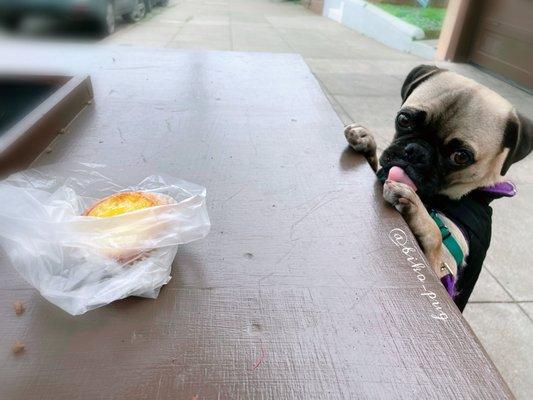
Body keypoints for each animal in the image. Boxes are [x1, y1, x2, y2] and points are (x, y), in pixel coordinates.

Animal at [344, 64, 532, 310]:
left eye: (460, 156)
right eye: (404, 120)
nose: (415, 151)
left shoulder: (442, 273)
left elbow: (434, 234)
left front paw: (413, 206)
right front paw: (365, 141)